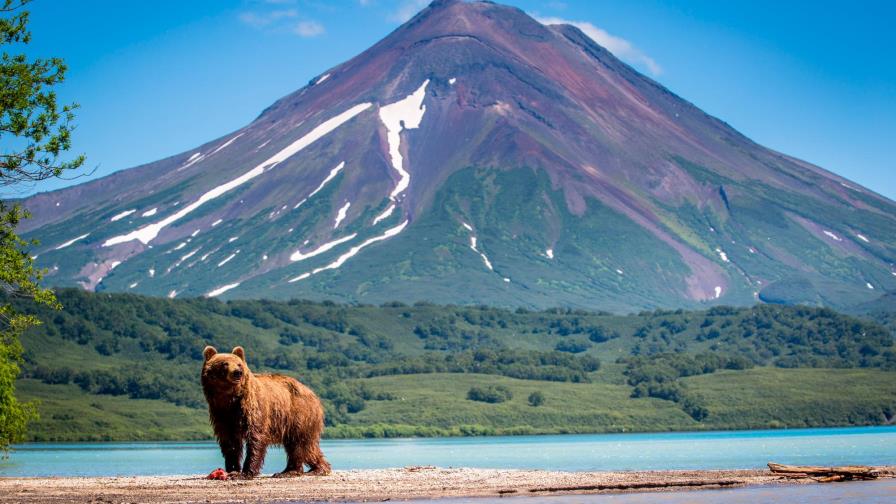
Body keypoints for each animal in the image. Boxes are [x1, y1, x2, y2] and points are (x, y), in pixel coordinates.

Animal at [201, 345, 331, 479]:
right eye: (224, 364)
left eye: (239, 364)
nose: (237, 373)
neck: (230, 398)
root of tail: (313, 393)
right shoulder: (221, 413)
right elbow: (229, 442)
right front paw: (232, 469)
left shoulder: (252, 408)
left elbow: (256, 437)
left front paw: (245, 472)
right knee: (307, 447)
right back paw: (317, 468)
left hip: (299, 414)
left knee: (298, 444)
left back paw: (291, 471)